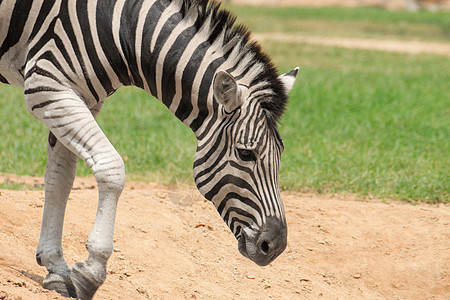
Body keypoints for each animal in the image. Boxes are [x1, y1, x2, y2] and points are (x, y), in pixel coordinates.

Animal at [1, 0, 300, 298]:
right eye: (245, 153)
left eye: (281, 154)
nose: (275, 246)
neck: (122, 28)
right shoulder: (46, 85)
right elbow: (111, 168)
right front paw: (92, 270)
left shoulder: (80, 97)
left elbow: (59, 180)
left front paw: (56, 268)